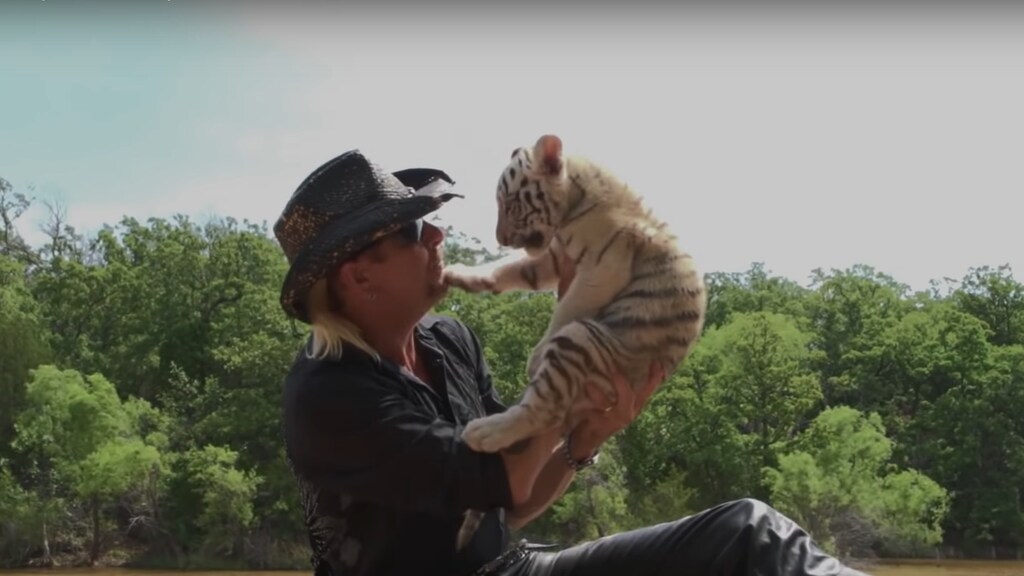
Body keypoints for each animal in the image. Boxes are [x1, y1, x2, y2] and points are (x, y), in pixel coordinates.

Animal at [443, 133, 707, 550]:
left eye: (511, 204)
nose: (501, 238)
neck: (572, 203)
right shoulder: (553, 255)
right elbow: (510, 270)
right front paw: (462, 273)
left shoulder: (601, 268)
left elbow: (566, 307)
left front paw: (535, 355)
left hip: (581, 340)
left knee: (542, 410)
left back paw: (485, 431)